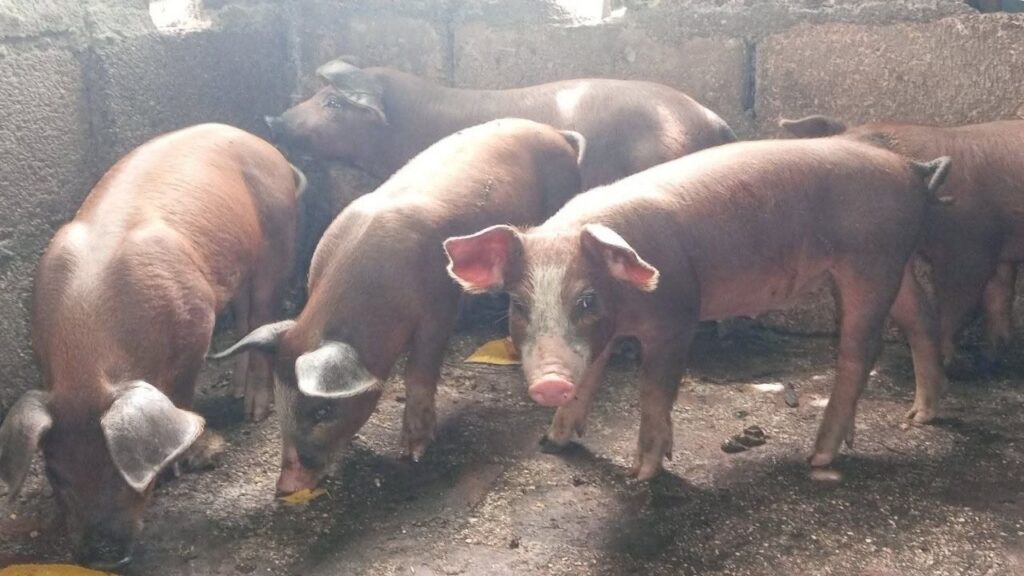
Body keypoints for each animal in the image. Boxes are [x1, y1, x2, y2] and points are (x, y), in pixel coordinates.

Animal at [0, 124, 301, 568]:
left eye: (120, 473)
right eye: (56, 474)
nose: (102, 555)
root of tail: (261, 143)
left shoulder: (198, 321)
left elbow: (181, 396)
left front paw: (187, 461)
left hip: (277, 240)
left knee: (263, 312)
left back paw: (253, 411)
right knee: (246, 318)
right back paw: (235, 391)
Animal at [208, 119, 584, 495]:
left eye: (322, 412)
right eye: (281, 401)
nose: (285, 486)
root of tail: (557, 133)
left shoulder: (438, 308)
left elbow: (418, 373)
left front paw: (412, 452)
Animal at [444, 138, 952, 480]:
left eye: (587, 298)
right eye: (518, 303)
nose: (549, 381)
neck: (627, 306)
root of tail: (910, 168)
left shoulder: (677, 318)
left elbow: (653, 390)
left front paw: (641, 474)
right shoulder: (602, 336)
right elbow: (588, 377)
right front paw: (552, 443)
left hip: (869, 262)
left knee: (859, 352)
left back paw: (819, 457)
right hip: (897, 261)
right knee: (922, 320)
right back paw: (919, 418)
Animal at [780, 115, 1024, 371]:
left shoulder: (970, 244)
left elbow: (956, 303)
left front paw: (945, 361)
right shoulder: (999, 248)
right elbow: (998, 296)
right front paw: (988, 358)